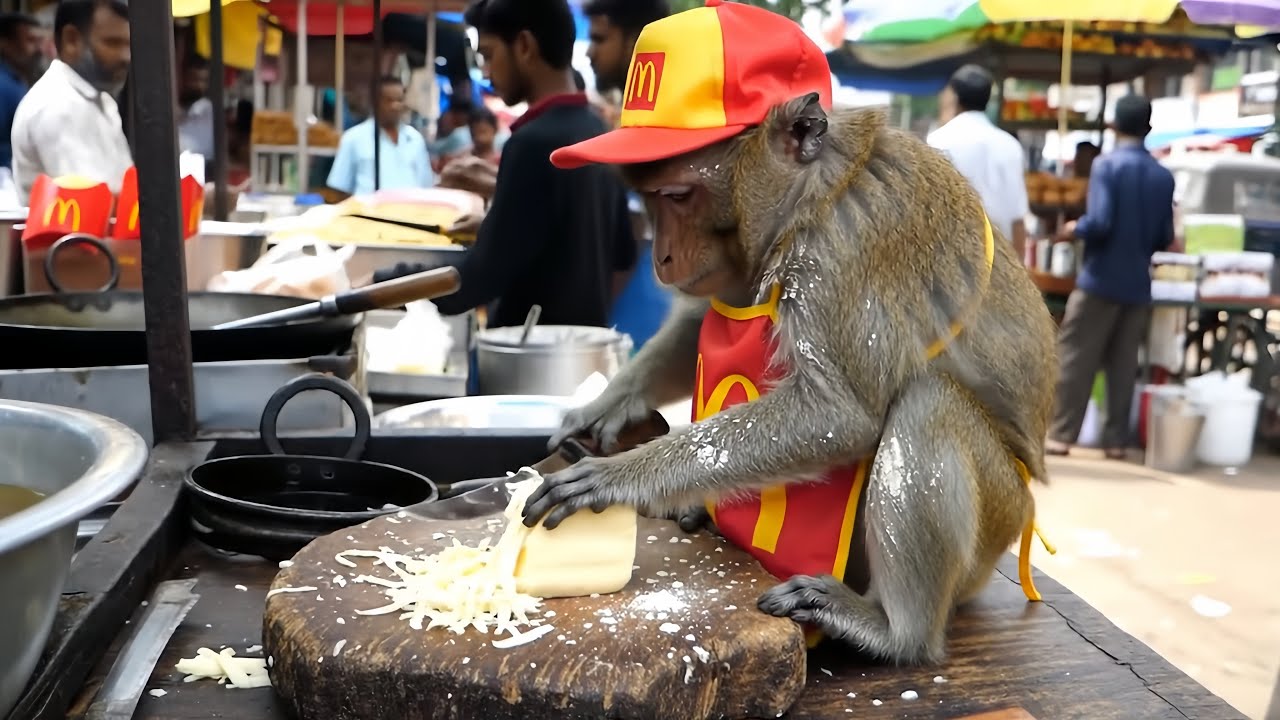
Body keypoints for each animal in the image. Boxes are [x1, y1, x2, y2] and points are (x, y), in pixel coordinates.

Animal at [521, 94, 1060, 665]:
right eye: (649, 200)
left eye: (678, 196)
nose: (660, 257)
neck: (818, 188)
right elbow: (700, 320)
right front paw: (606, 405)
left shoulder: (840, 254)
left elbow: (838, 416)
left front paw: (616, 476)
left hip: (996, 522)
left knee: (927, 403)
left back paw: (893, 630)